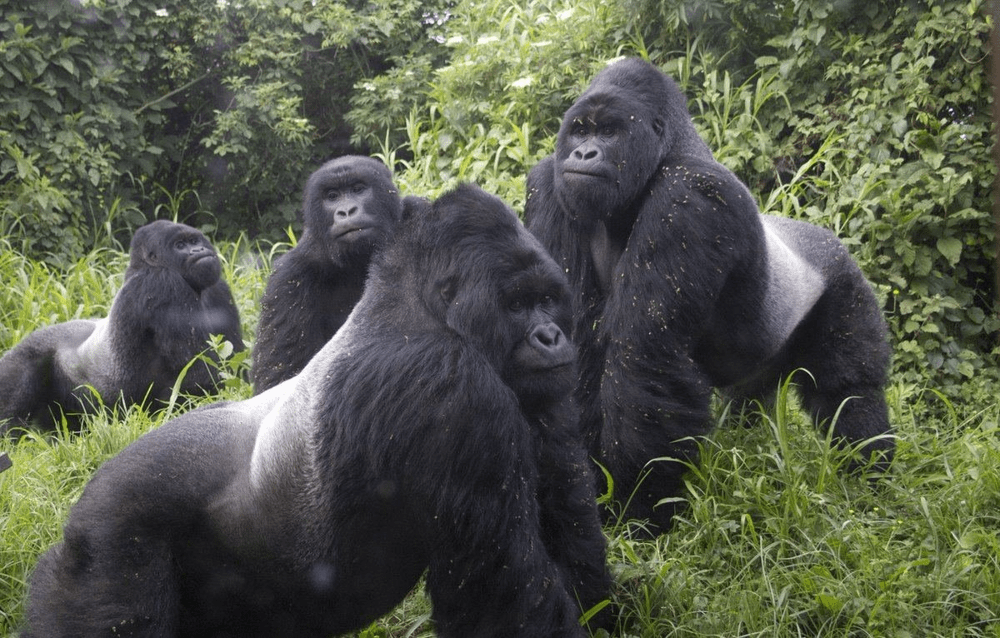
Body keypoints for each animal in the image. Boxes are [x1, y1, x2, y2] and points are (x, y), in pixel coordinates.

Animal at [0, 219, 244, 436]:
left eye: (194, 240)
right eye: (180, 245)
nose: (199, 249)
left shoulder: (218, 289)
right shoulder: (162, 283)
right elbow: (199, 375)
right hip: (19, 360)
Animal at [528, 56, 896, 536]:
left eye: (608, 132)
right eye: (580, 131)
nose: (583, 154)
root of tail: (830, 240)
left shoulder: (689, 196)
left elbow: (643, 359)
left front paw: (641, 508)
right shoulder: (549, 186)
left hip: (844, 280)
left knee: (849, 394)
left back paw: (870, 480)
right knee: (750, 401)